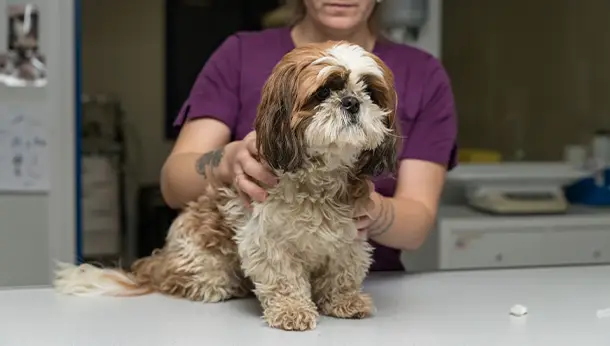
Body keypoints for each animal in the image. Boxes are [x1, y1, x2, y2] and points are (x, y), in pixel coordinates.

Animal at [54, 39, 400, 332]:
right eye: (325, 91)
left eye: (370, 91)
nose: (352, 102)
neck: (319, 180)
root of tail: (159, 264)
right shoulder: (266, 238)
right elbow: (283, 278)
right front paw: (291, 309)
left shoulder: (349, 236)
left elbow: (343, 271)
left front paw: (344, 300)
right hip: (203, 264)